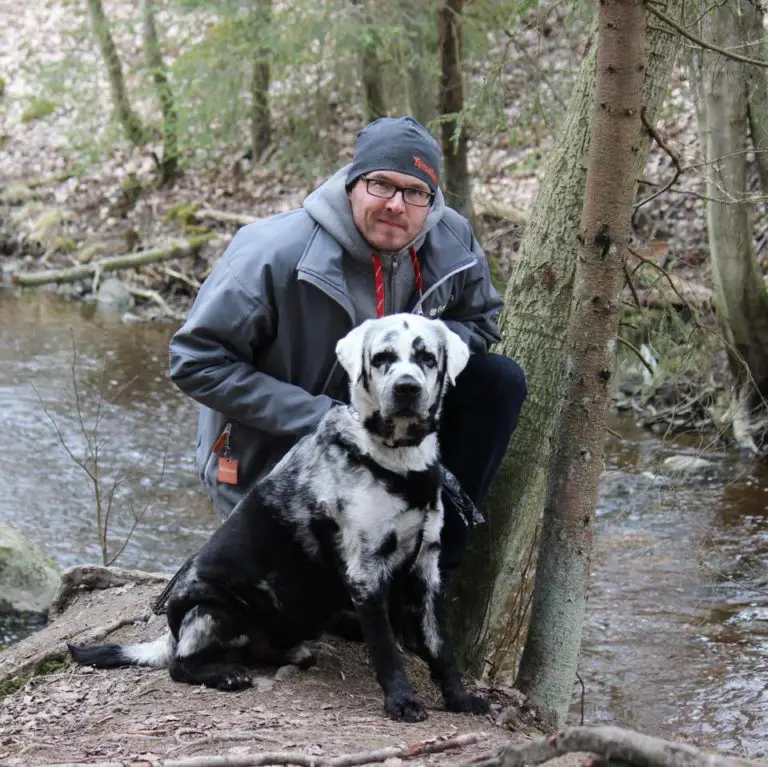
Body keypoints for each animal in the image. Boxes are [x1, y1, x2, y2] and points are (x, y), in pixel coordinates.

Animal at [69, 312, 488, 720]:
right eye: (382, 357)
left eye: (427, 357)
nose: (406, 388)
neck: (397, 463)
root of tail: (169, 635)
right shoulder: (365, 575)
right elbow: (385, 649)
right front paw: (401, 701)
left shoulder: (426, 571)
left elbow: (441, 649)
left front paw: (460, 699)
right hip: (212, 608)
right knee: (181, 665)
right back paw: (225, 674)